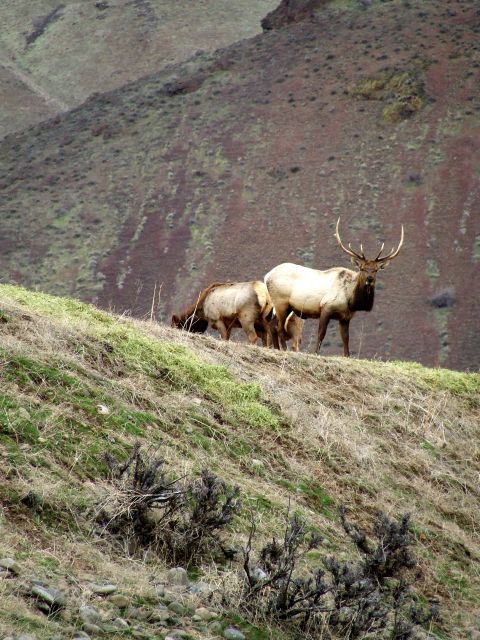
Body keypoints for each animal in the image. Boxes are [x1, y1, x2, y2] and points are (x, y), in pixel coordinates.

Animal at [264, 218, 404, 356]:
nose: (369, 279)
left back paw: (277, 348)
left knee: (272, 325)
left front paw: (347, 355)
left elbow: (346, 338)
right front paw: (316, 352)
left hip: (282, 306)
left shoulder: (345, 317)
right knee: (279, 327)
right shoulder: (326, 307)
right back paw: (283, 349)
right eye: (362, 268)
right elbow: (321, 333)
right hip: (281, 303)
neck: (351, 300)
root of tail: (267, 276)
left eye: (375, 270)